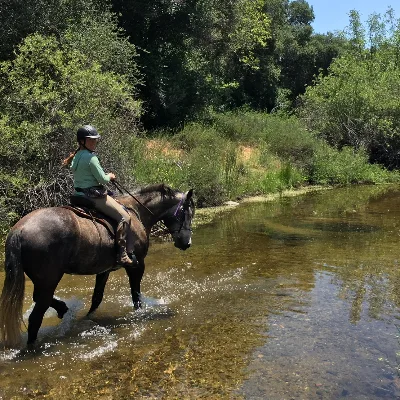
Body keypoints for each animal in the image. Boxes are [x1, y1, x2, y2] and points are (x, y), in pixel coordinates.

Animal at [0, 184, 195, 346]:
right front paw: (140, 314)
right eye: (187, 213)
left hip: (43, 280)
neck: (137, 212)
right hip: (50, 280)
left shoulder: (104, 270)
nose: (186, 243)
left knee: (40, 299)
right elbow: (136, 295)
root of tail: (19, 230)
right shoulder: (137, 265)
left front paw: (88, 318)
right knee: (36, 316)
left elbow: (97, 298)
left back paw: (63, 309)